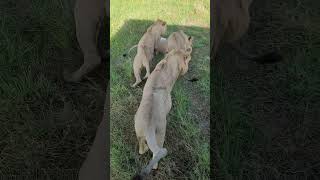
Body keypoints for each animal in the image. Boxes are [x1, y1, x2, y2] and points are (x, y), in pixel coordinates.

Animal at [133, 48, 191, 179]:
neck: (169, 60)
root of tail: (148, 127)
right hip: (160, 135)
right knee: (155, 156)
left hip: (138, 130)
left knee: (141, 150)